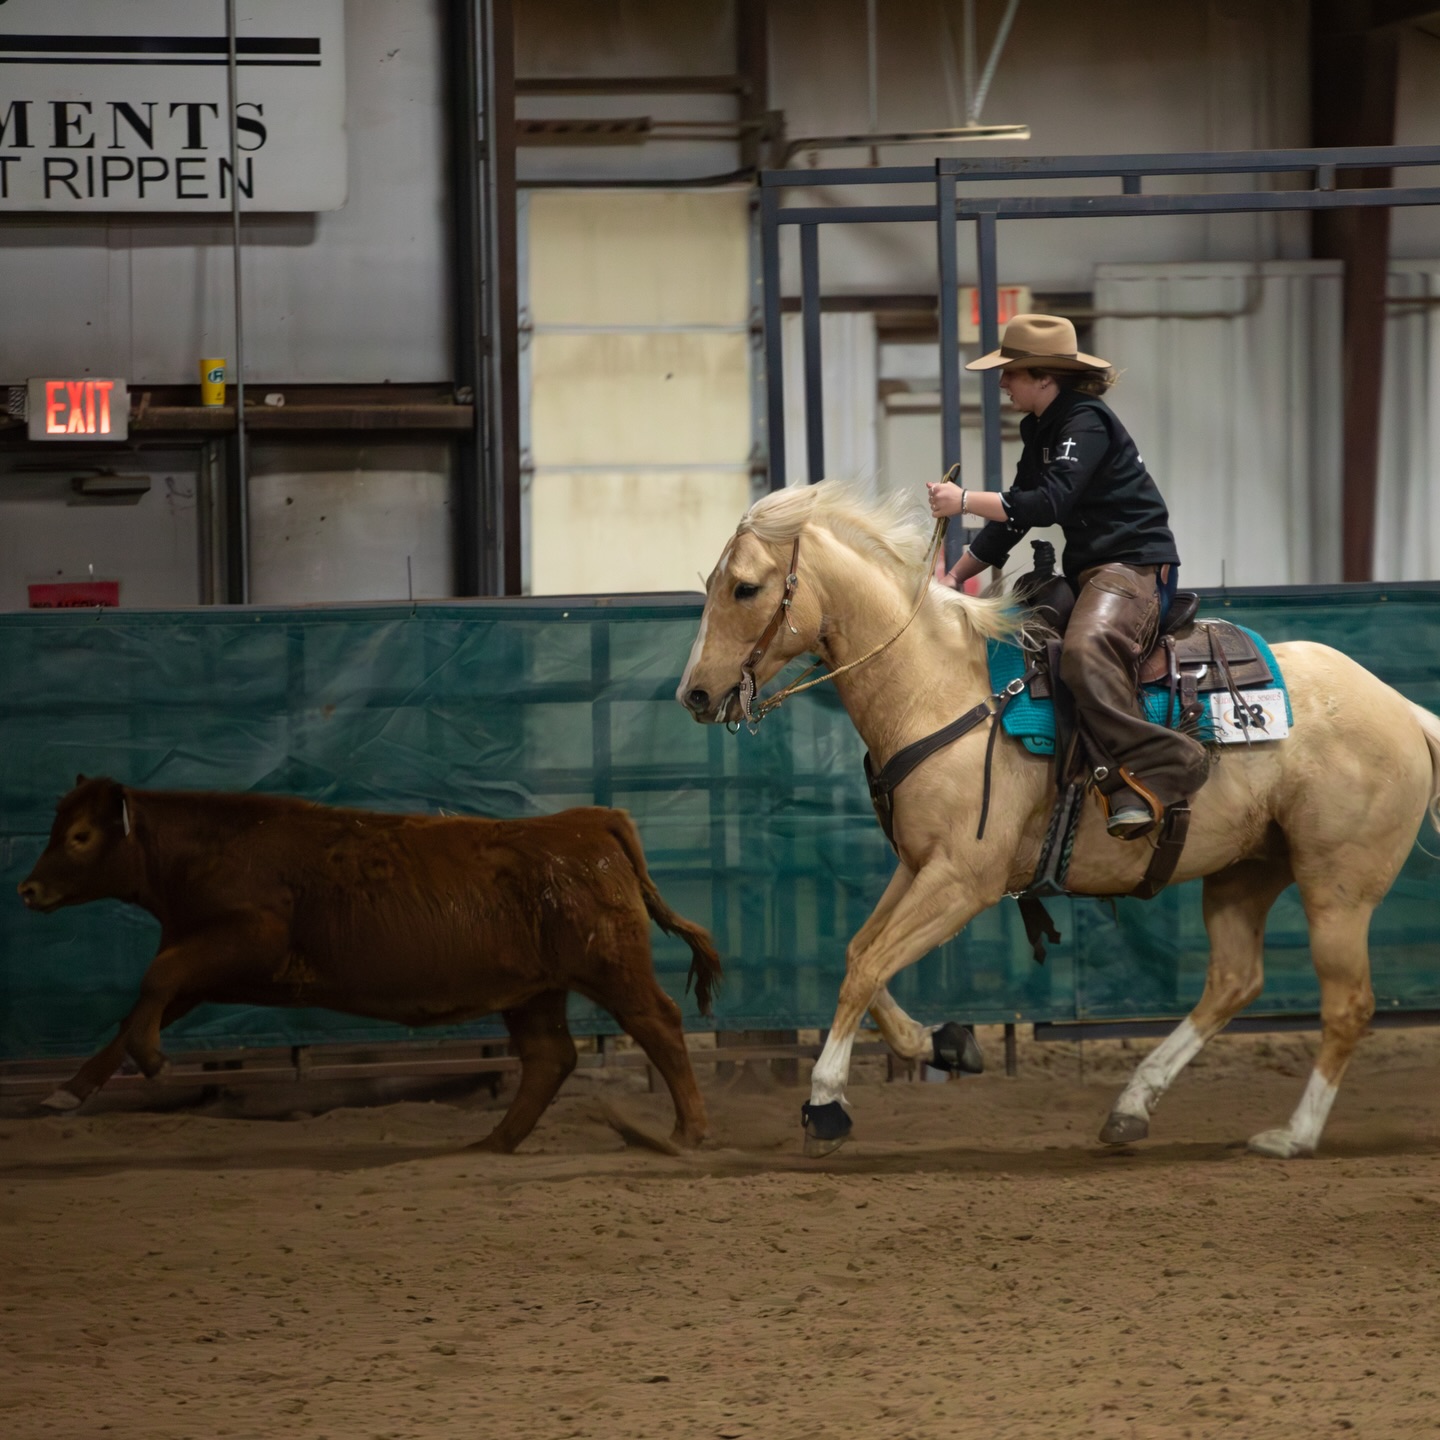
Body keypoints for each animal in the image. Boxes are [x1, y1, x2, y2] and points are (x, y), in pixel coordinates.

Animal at [676, 480, 1440, 1159]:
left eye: (744, 587)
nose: (695, 694)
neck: (937, 685)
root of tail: (1403, 710)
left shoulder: (964, 880)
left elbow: (865, 965)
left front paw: (827, 1102)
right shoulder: (922, 865)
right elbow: (860, 954)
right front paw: (943, 1043)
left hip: (1337, 886)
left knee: (1347, 1004)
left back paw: (1293, 1136)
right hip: (1246, 872)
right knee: (1233, 983)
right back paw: (1131, 1107)